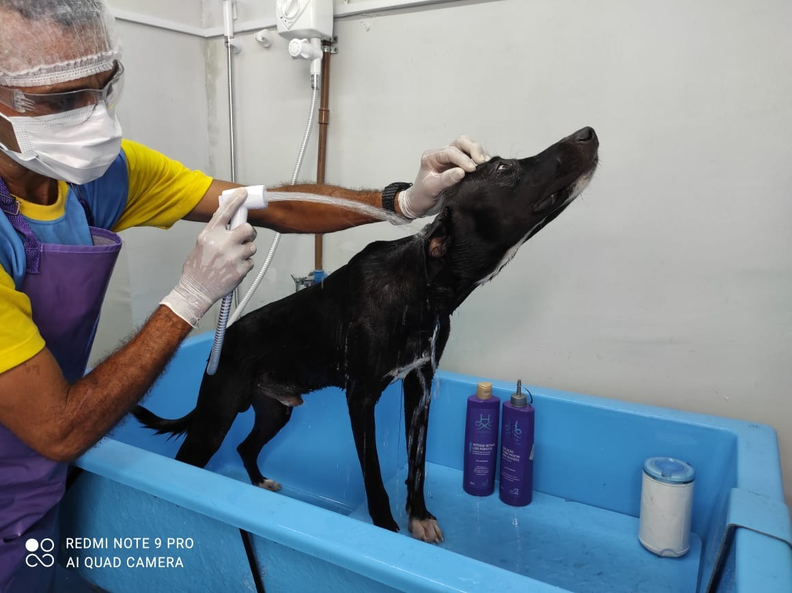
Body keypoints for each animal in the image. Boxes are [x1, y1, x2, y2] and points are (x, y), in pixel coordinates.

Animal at [133, 127, 596, 544]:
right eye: (502, 169)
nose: (588, 133)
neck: (423, 288)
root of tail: (220, 342)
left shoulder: (420, 384)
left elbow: (417, 465)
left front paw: (419, 517)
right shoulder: (361, 397)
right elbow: (373, 475)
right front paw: (387, 529)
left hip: (275, 411)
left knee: (247, 447)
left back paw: (261, 483)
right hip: (216, 417)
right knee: (190, 458)